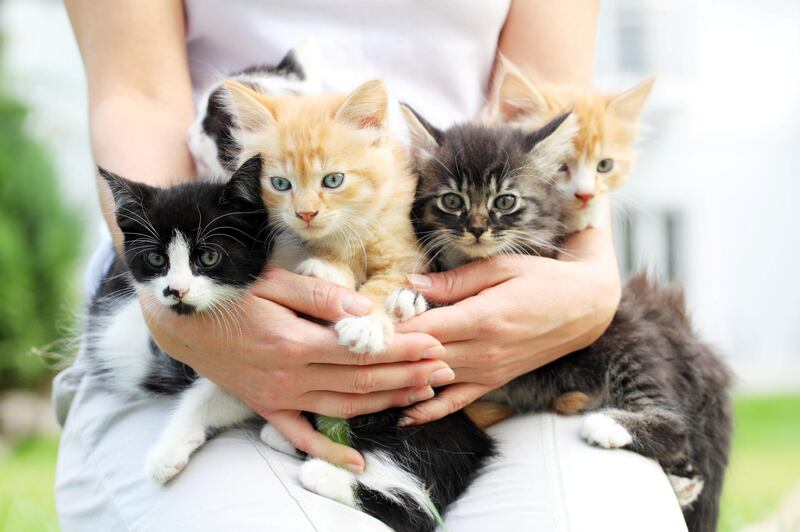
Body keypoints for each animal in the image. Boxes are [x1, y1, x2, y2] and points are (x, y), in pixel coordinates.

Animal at [83, 156, 272, 484]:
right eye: (156, 259)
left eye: (209, 257)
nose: (176, 290)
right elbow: (231, 391)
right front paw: (168, 451)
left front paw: (166, 450)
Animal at [222, 80, 428, 354]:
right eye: (280, 183)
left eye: (333, 180)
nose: (306, 213)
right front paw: (329, 269)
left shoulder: (407, 257)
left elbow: (384, 286)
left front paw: (366, 322)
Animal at [404, 105, 736, 532]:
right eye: (451, 200)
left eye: (505, 201)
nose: (477, 228)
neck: (471, 260)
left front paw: (413, 298)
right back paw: (682, 484)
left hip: (629, 339)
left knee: (676, 426)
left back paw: (610, 425)